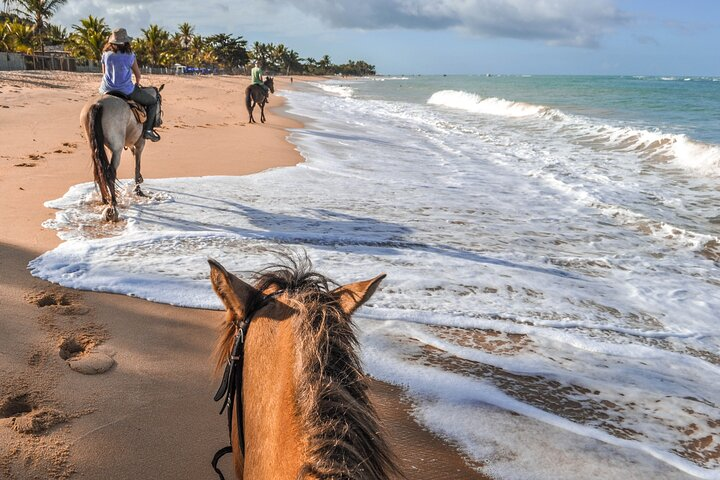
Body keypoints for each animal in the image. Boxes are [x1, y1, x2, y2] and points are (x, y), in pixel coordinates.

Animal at [81, 85, 164, 220]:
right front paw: (138, 190)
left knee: (98, 170)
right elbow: (137, 165)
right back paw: (113, 206)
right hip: (117, 149)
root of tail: (98, 104)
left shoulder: (131, 145)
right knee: (110, 173)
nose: (160, 122)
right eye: (159, 101)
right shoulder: (140, 144)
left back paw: (105, 199)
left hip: (94, 146)